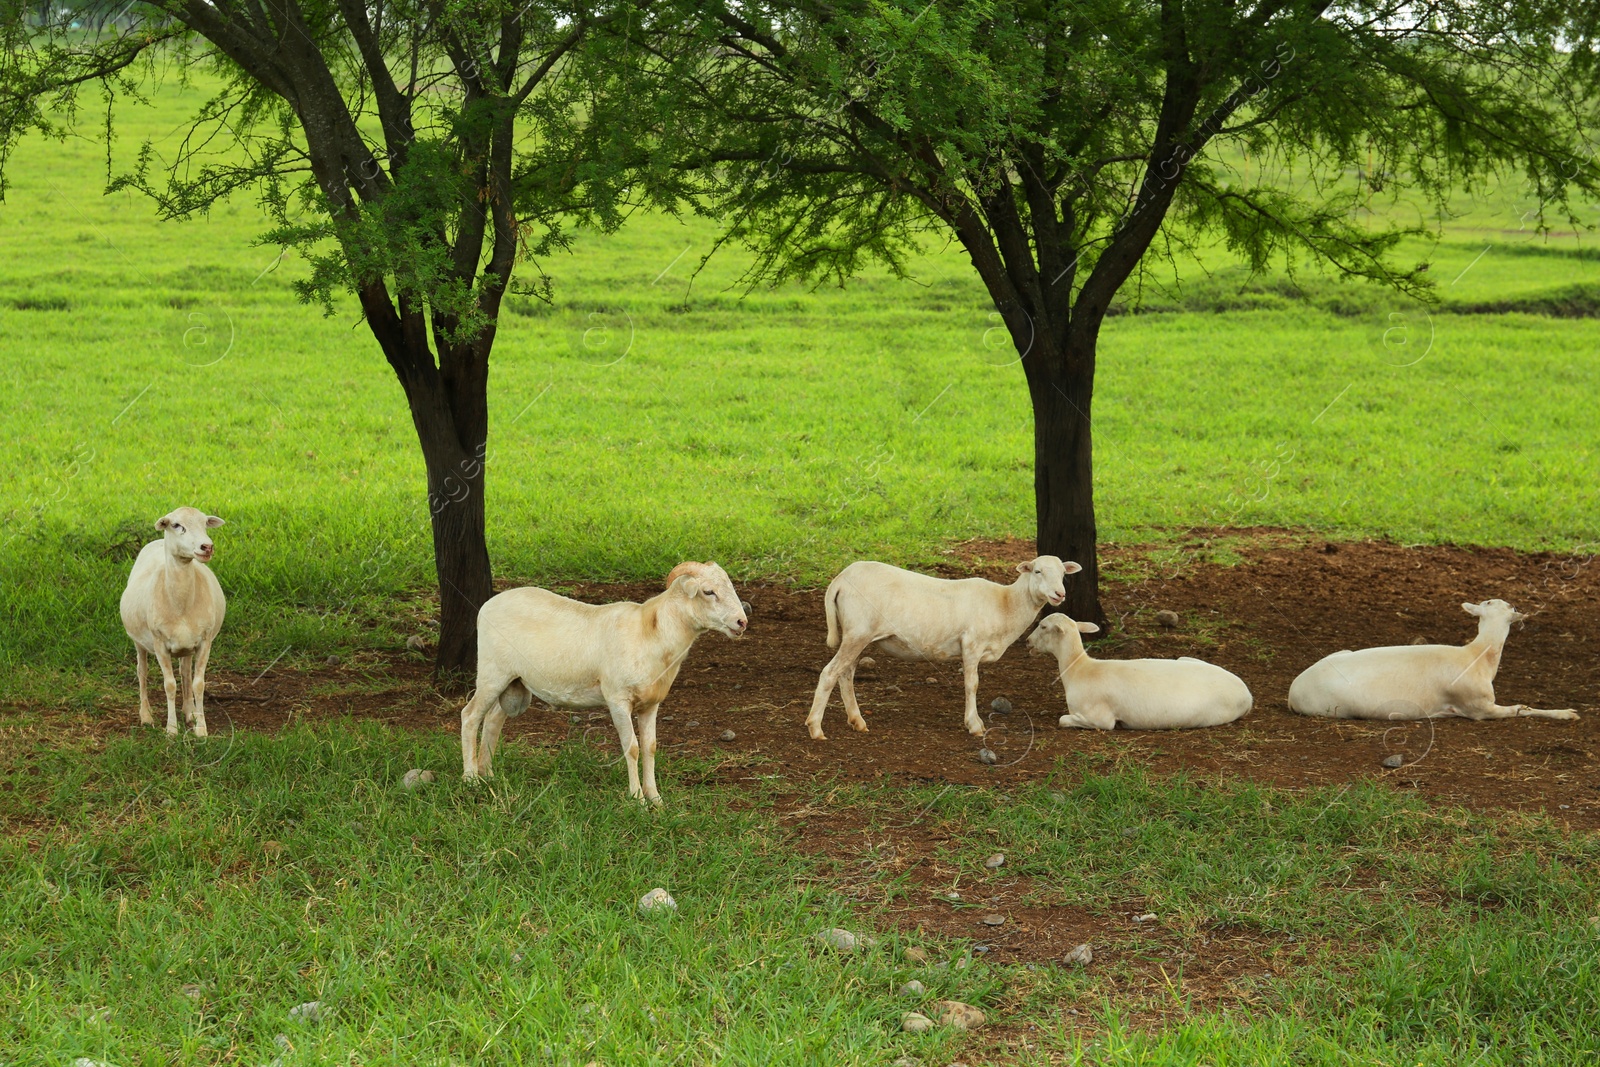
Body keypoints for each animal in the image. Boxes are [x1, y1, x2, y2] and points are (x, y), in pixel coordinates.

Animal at [116, 505, 225, 739]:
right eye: (176, 525)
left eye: (205, 523)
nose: (207, 547)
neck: (181, 603)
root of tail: (157, 541)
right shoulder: (160, 645)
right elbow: (169, 685)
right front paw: (171, 730)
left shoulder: (204, 642)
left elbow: (198, 683)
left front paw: (201, 728)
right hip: (139, 642)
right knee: (142, 672)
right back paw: (146, 716)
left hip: (187, 646)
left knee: (185, 673)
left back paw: (189, 712)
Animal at [457, 563, 742, 806]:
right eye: (708, 591)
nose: (742, 622)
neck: (652, 632)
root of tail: (487, 605)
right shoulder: (618, 699)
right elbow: (632, 748)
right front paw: (637, 799)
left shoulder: (651, 704)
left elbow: (650, 748)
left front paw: (656, 799)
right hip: (492, 673)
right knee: (470, 716)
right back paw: (471, 780)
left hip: (513, 682)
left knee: (493, 719)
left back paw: (488, 774)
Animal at [806, 556, 1081, 739]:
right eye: (1037, 571)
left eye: (1063, 574)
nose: (1059, 594)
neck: (1006, 604)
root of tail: (840, 580)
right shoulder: (971, 643)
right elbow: (972, 684)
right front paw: (974, 725)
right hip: (858, 632)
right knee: (830, 673)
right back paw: (816, 728)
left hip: (856, 634)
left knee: (846, 673)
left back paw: (857, 721)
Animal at [1030, 614, 1254, 729]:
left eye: (1042, 626)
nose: (1027, 641)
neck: (1078, 669)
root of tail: (1248, 695)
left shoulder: (1099, 718)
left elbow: (1063, 720)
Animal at [1286, 598, 1574, 723]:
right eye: (1496, 602)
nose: (1515, 606)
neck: (1477, 655)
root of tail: (1292, 693)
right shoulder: (1479, 708)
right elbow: (1520, 709)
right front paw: (1566, 713)